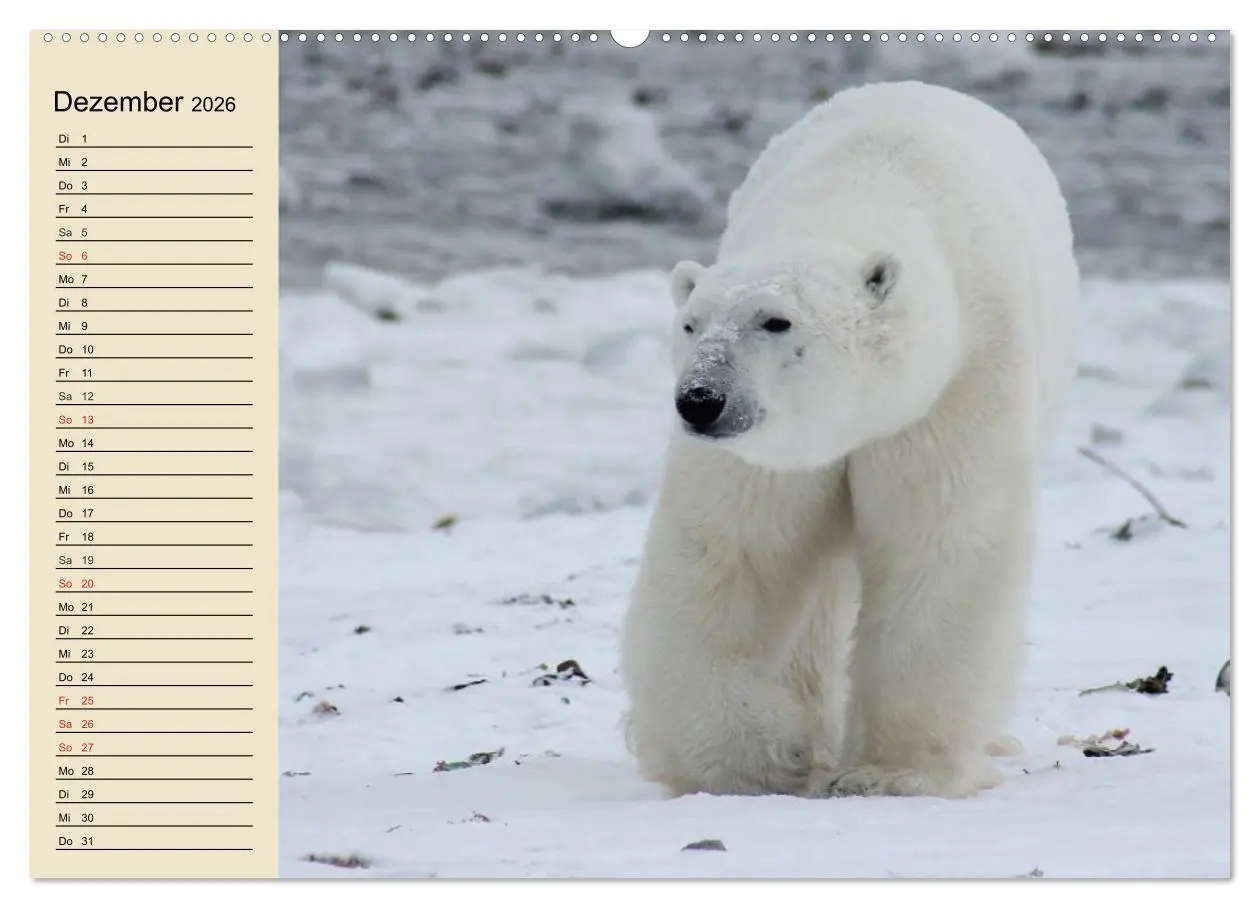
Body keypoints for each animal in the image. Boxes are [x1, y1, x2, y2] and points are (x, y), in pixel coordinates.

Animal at [618, 80, 1079, 799]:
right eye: (692, 324)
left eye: (775, 321)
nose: (700, 400)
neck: (862, 191)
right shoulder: (771, 453)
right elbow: (730, 551)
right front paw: (763, 753)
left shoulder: (957, 386)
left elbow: (939, 546)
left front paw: (891, 771)